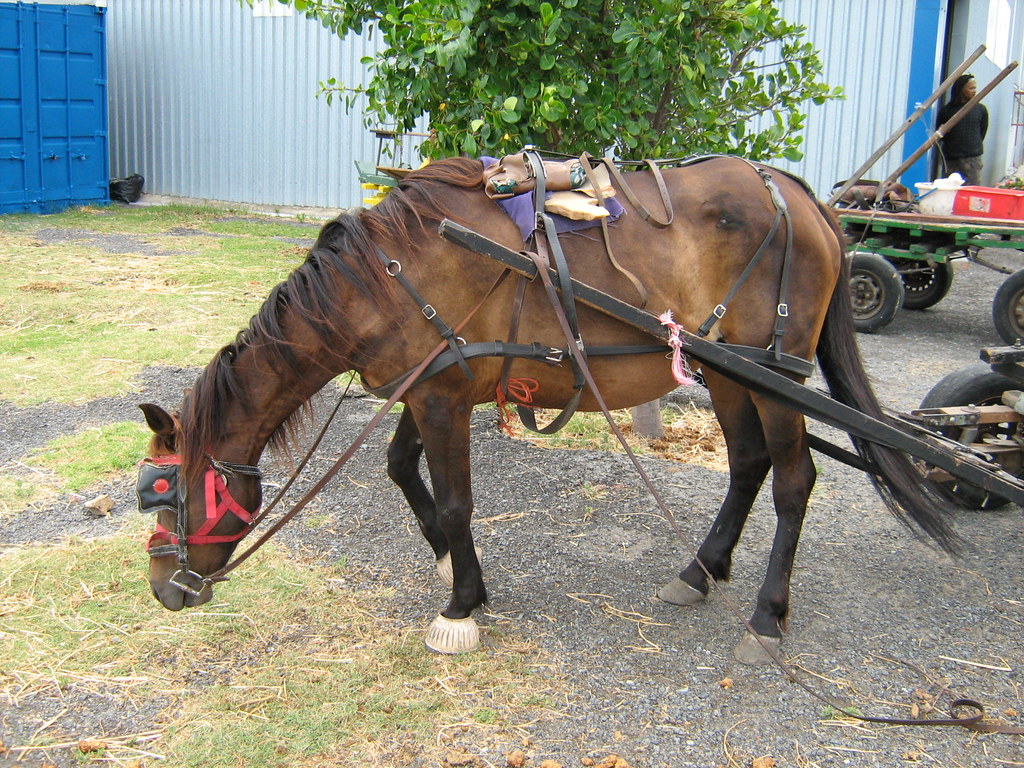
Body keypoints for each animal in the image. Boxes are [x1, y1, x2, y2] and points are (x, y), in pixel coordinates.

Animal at [137, 155, 957, 664]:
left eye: (167, 490)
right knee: (750, 465)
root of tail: (795, 193)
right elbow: (403, 470)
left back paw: (765, 616)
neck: (385, 278)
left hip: (771, 375)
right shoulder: (432, 383)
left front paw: (459, 607)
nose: (163, 590)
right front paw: (450, 563)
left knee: (792, 482)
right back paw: (701, 569)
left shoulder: (441, 398)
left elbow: (457, 501)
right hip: (728, 374)